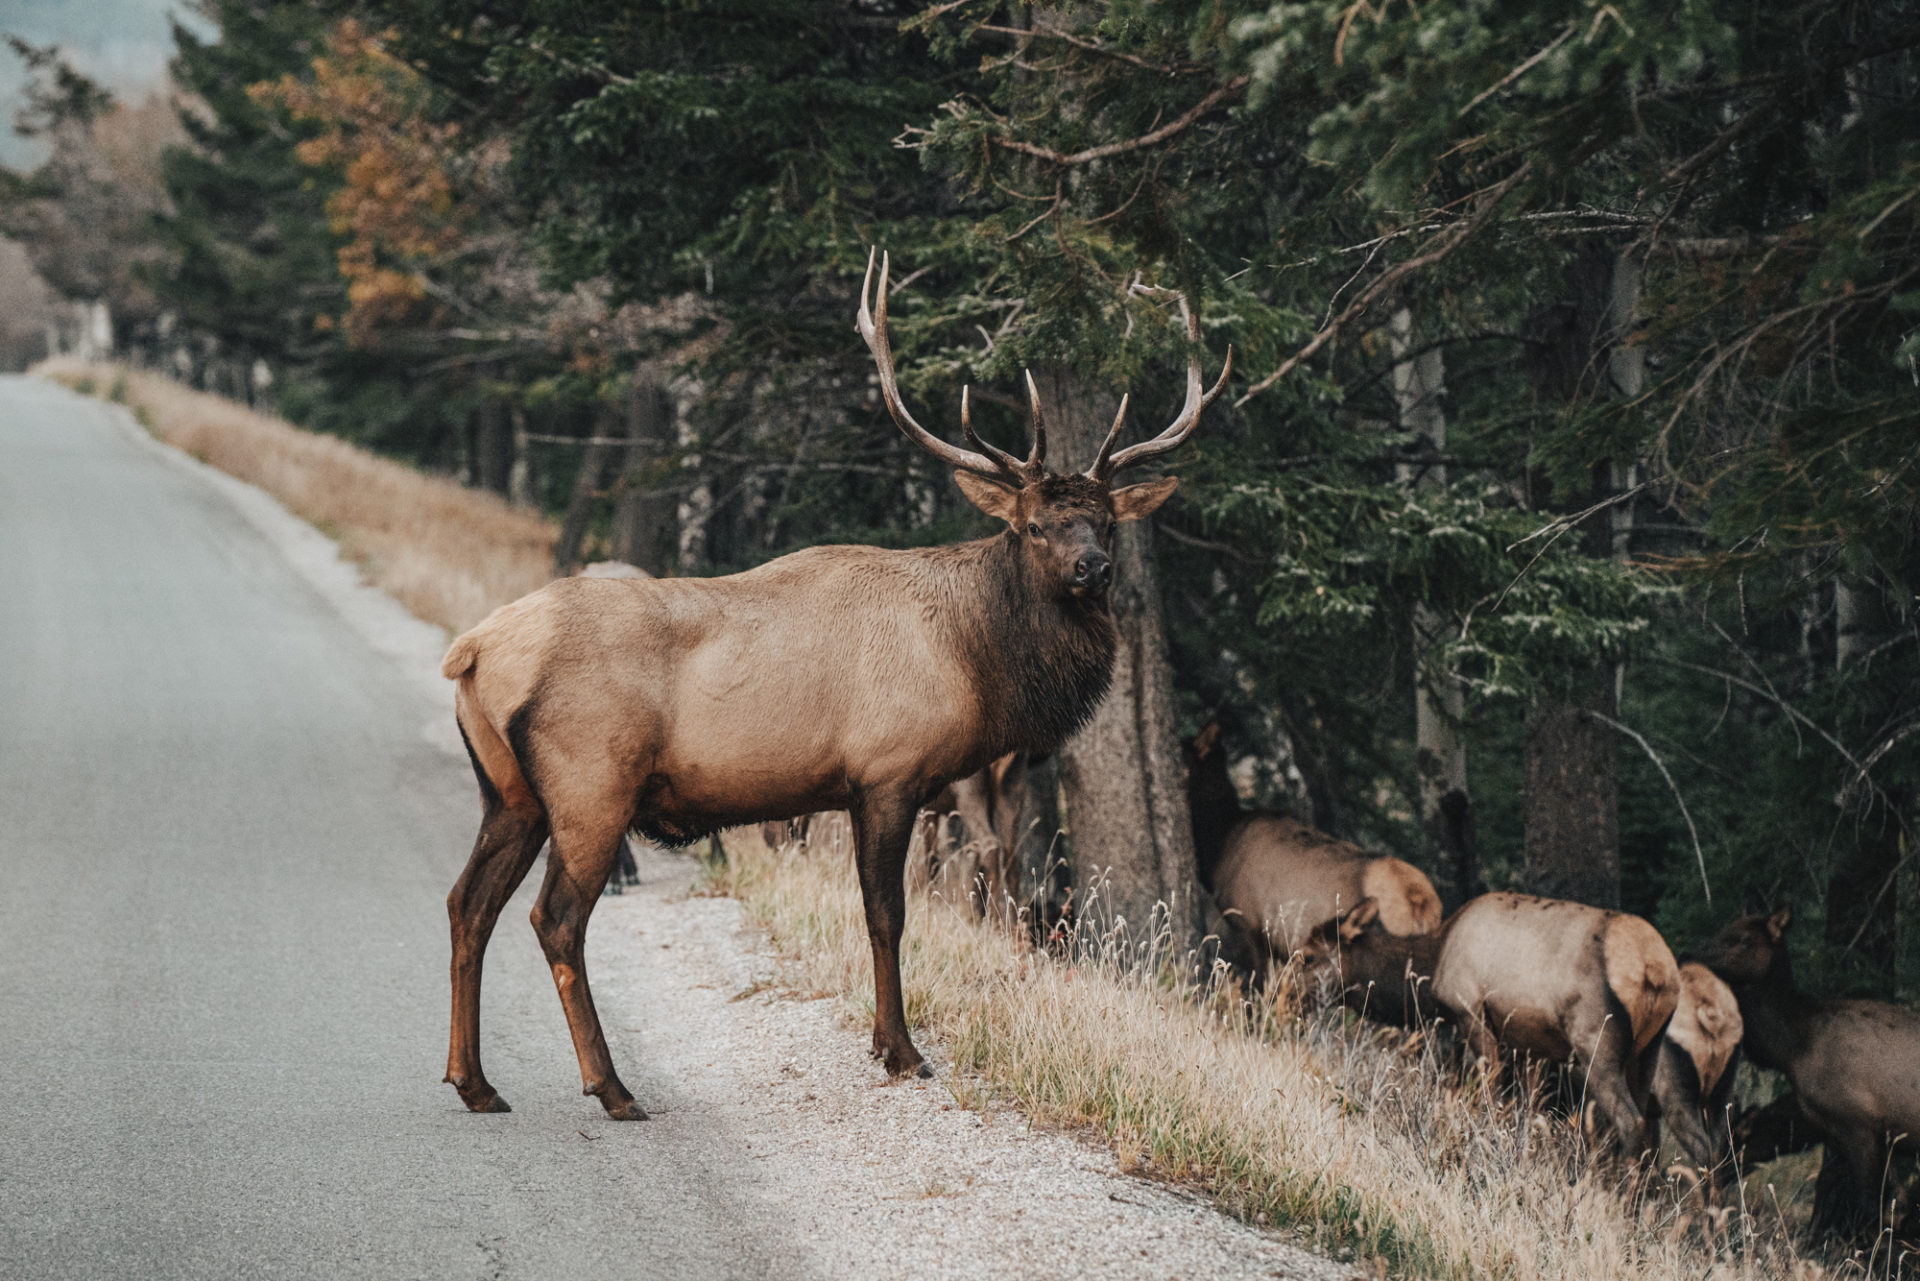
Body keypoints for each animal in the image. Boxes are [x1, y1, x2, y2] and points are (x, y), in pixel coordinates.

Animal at [437, 253, 1228, 1121]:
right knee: (554, 918)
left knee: (467, 904)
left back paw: (475, 1081)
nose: (1095, 569)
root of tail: (471, 651)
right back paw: (610, 1086)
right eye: (1031, 525)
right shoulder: (889, 771)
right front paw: (900, 1049)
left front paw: (890, 1042)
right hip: (589, 783)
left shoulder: (858, 788)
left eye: (1106, 520)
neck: (974, 658)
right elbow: (887, 913)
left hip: (509, 792)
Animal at [1697, 906, 1920, 1236]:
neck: (1794, 1051)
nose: (1691, 955)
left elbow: (1871, 1209)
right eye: (1723, 930)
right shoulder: (1851, 1135)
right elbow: (1880, 1202)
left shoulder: (1861, 1126)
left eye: (1743, 939)